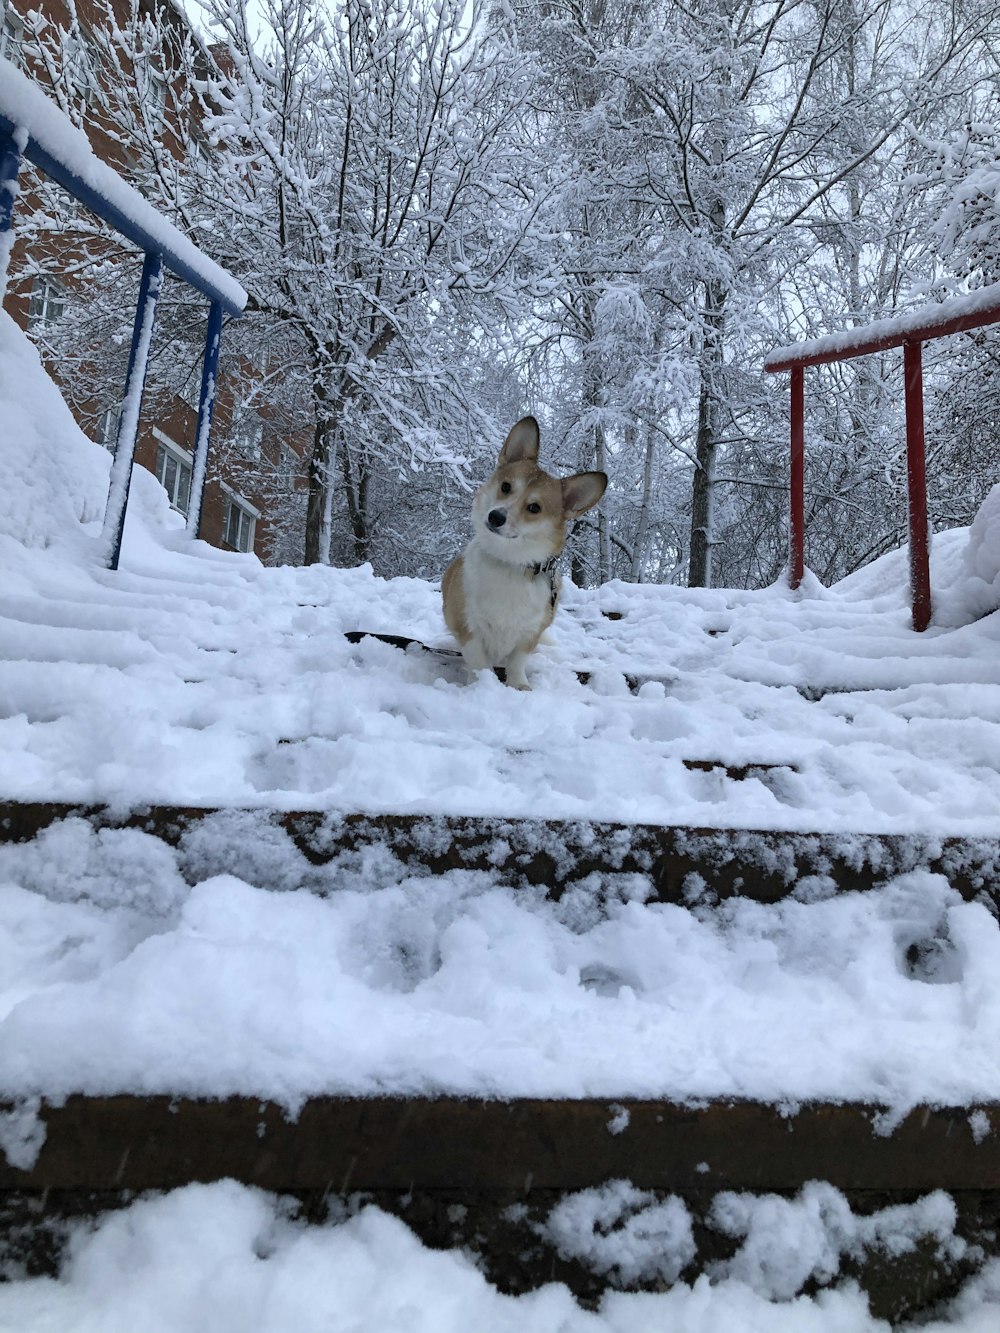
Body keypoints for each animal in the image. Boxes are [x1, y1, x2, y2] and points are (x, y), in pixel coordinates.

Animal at [442, 413, 608, 687]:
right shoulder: (468, 625)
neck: (510, 563)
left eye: (534, 508)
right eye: (506, 487)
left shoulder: (530, 633)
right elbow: (478, 662)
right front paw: (481, 685)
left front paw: (518, 686)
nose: (496, 516)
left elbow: (517, 661)